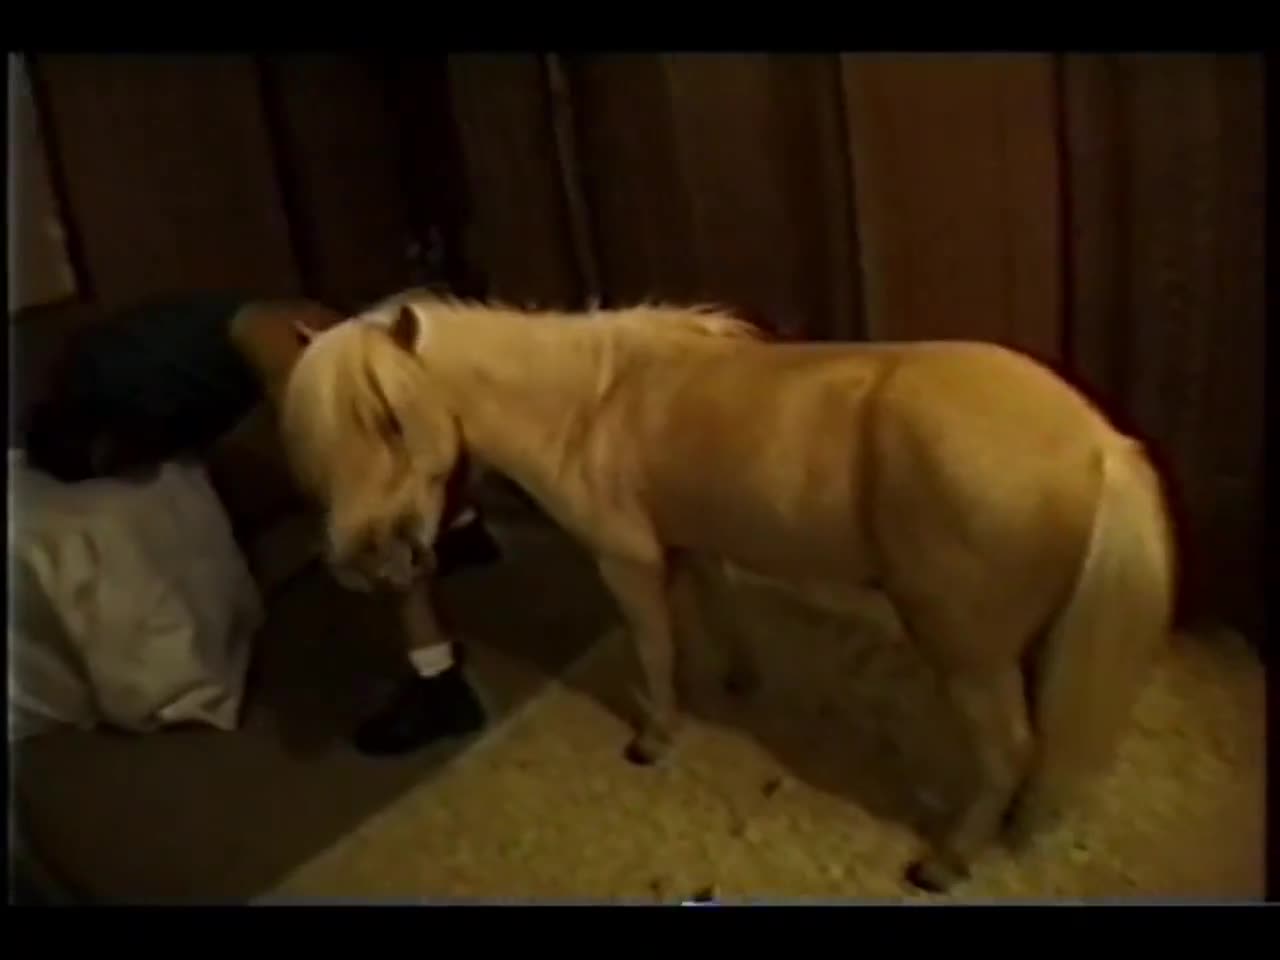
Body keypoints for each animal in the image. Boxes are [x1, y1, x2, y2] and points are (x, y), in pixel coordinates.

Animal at [279, 292, 1176, 893]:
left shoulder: (629, 562)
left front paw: (656, 738)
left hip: (964, 651)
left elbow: (654, 647)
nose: (364, 561)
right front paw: (742, 684)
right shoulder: (700, 545)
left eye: (390, 419)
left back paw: (948, 860)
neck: (592, 408)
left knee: (1010, 748)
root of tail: (1100, 443)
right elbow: (718, 616)